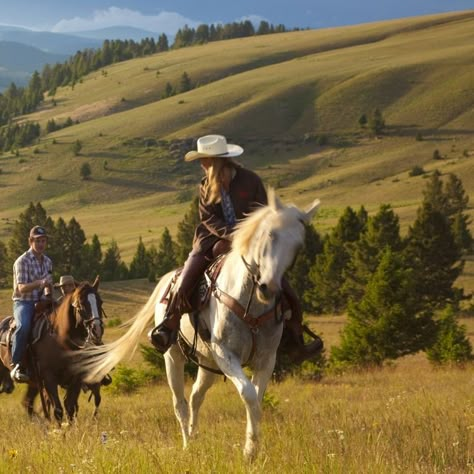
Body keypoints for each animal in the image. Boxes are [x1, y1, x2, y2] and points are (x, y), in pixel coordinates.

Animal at [0, 278, 104, 422]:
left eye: (100, 302)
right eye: (81, 303)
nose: (96, 330)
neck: (61, 340)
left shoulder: (76, 379)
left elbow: (70, 408)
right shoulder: (49, 379)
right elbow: (58, 410)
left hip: (33, 383)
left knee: (28, 403)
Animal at [79, 191, 320, 462]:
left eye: (298, 245)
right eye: (270, 235)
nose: (269, 287)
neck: (249, 299)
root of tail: (169, 279)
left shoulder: (266, 359)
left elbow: (256, 400)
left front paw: (252, 448)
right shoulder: (226, 355)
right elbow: (248, 394)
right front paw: (249, 453)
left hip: (207, 363)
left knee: (195, 396)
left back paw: (195, 437)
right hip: (173, 357)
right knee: (181, 403)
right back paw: (187, 443)